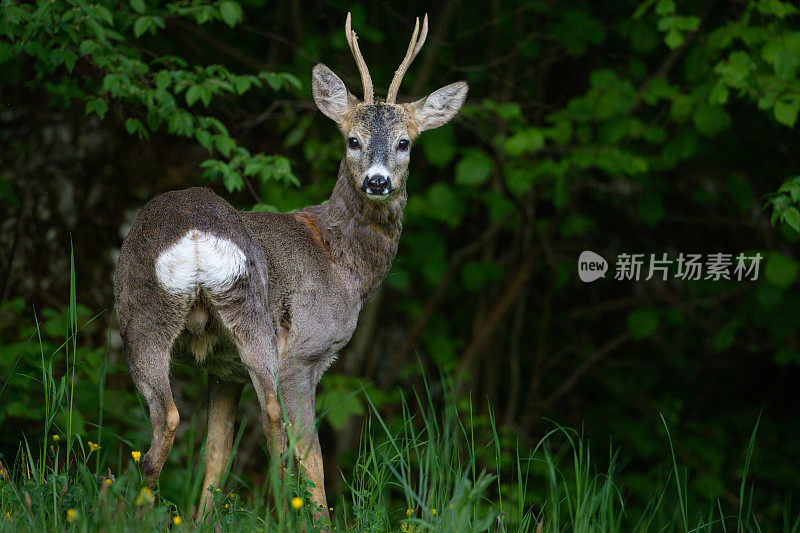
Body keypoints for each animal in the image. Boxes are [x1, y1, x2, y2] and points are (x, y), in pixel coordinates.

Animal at [111, 11, 462, 520]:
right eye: (352, 139)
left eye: (404, 142)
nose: (378, 181)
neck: (342, 260)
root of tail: (195, 238)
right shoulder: (305, 354)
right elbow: (311, 453)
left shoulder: (222, 370)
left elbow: (218, 451)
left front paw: (204, 521)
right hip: (224, 315)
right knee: (271, 423)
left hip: (160, 314)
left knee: (176, 419)